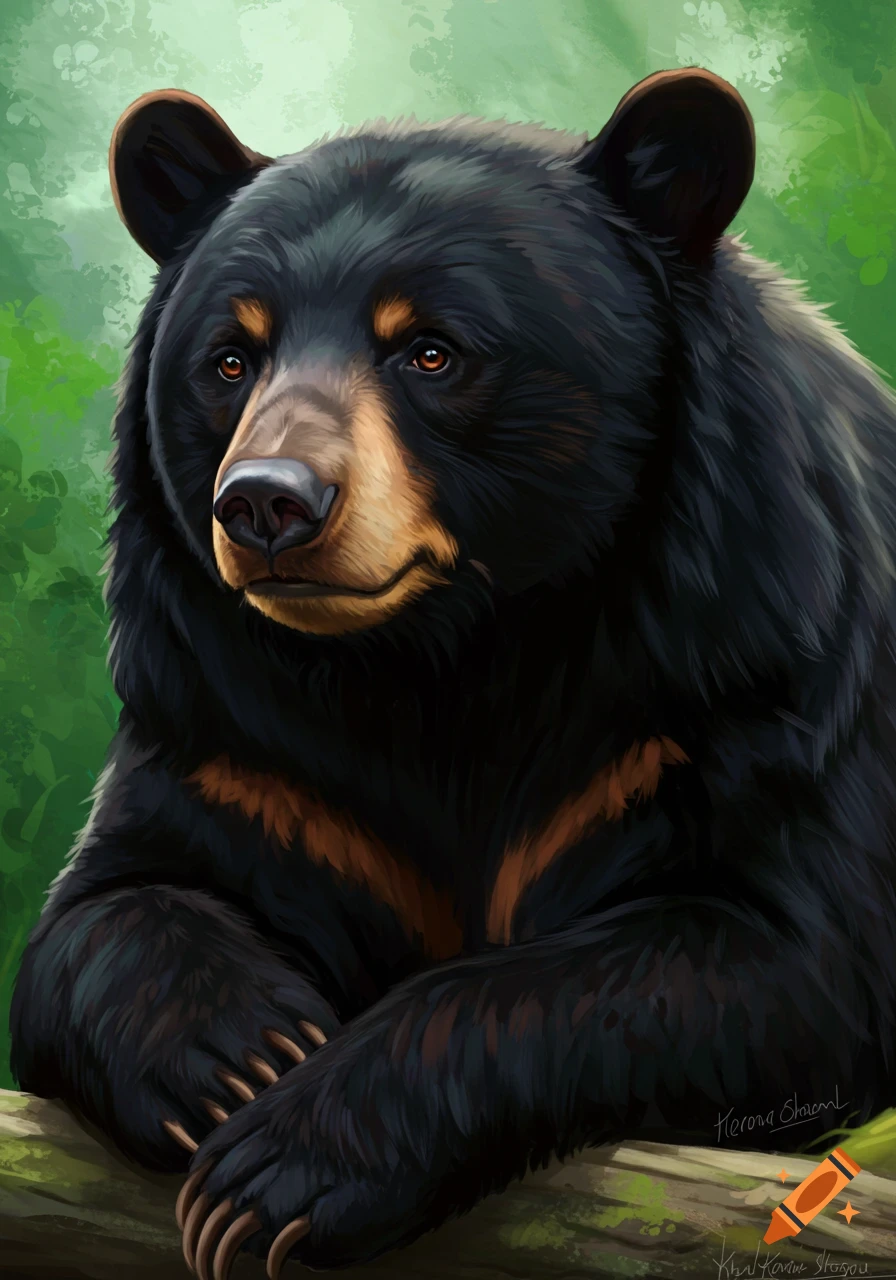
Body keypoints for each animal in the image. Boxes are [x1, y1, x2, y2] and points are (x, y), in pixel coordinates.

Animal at [9, 64, 896, 1278]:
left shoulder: (749, 678)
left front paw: (280, 1165)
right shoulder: (229, 724)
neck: (443, 655)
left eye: (430, 350)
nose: (266, 502)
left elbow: (772, 958)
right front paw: (240, 1052)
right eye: (231, 358)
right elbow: (104, 908)